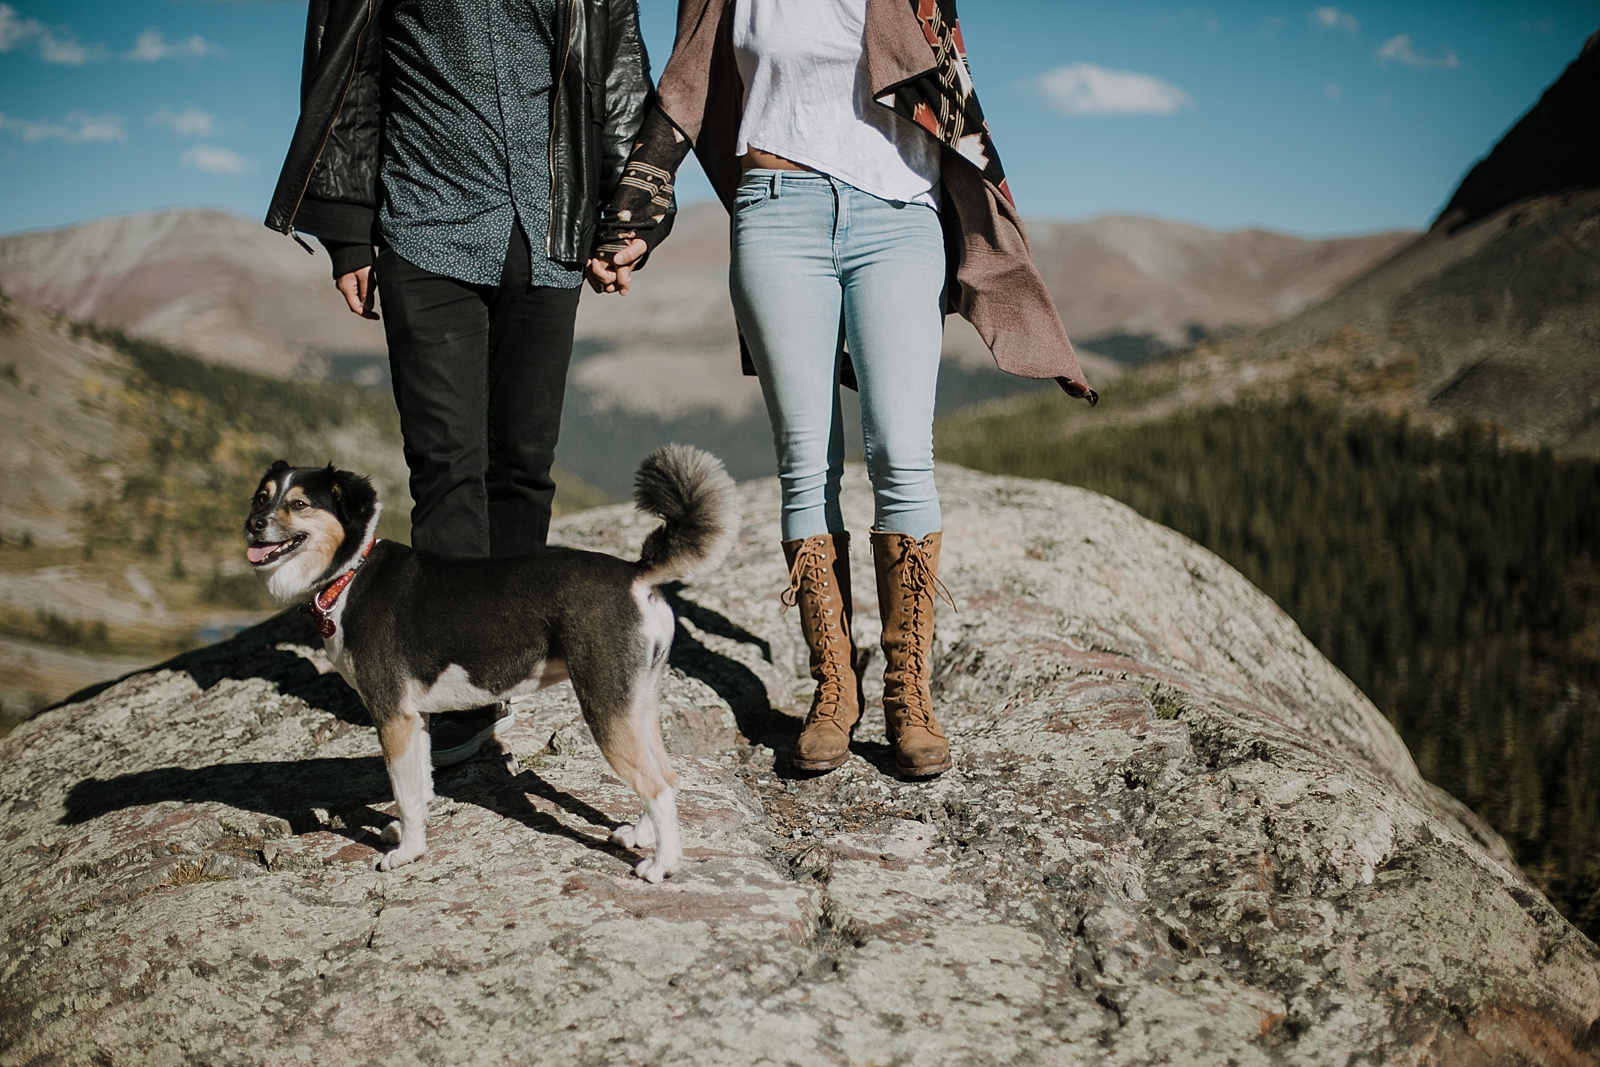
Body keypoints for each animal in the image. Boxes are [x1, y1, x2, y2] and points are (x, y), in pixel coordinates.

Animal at [240, 444, 739, 883]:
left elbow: (404, 791)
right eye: (262, 497)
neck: (349, 575)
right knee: (666, 774)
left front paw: (407, 853)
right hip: (637, 704)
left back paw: (662, 866)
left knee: (657, 786)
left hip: (605, 708)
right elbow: (421, 786)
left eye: (299, 504)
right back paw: (639, 835)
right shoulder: (416, 719)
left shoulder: (392, 716)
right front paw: (409, 832)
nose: (252, 525)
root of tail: (636, 574)